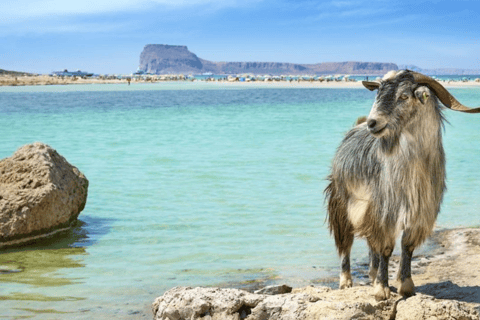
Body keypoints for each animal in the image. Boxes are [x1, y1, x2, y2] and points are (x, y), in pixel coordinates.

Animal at [324, 69, 478, 300]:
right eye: (377, 93)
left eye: (404, 96)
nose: (372, 123)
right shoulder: (385, 210)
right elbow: (387, 248)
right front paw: (382, 290)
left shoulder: (419, 212)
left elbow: (407, 246)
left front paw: (406, 285)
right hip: (342, 203)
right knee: (346, 242)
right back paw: (346, 281)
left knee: (370, 243)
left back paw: (371, 274)